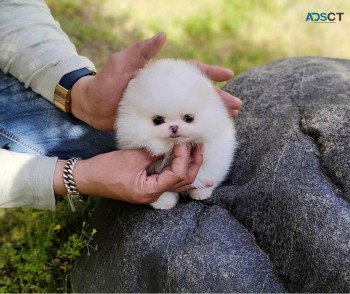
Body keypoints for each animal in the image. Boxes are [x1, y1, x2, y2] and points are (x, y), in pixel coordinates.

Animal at [116, 59, 237, 209]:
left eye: (189, 118)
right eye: (157, 120)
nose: (174, 127)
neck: (171, 147)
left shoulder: (215, 151)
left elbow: (207, 172)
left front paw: (201, 192)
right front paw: (163, 202)